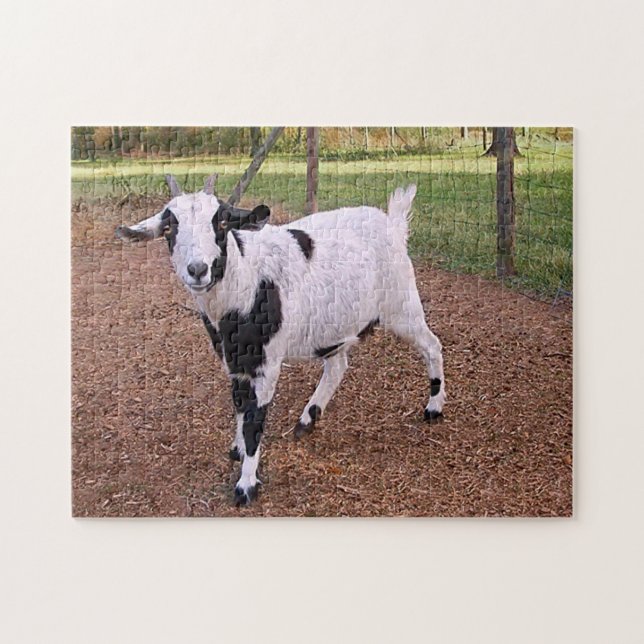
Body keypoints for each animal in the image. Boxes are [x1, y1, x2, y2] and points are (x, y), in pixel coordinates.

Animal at [116, 174, 446, 505]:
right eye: (169, 228)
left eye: (221, 222)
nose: (198, 269)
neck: (245, 284)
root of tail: (393, 222)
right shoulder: (235, 361)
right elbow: (239, 406)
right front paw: (237, 450)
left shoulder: (267, 364)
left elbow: (254, 420)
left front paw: (246, 485)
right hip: (336, 323)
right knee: (338, 365)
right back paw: (309, 418)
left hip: (402, 305)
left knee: (432, 346)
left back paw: (433, 408)